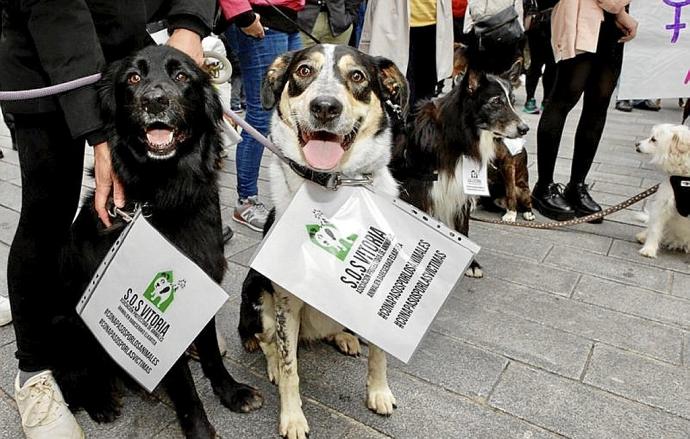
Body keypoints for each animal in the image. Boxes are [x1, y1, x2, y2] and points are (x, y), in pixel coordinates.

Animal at [53, 46, 262, 438]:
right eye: (133, 78)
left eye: (181, 76)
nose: (154, 100)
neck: (167, 195)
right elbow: (181, 382)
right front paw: (198, 428)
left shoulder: (202, 288)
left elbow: (211, 353)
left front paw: (230, 391)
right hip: (67, 324)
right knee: (73, 377)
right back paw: (100, 401)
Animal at [238, 45, 408, 439]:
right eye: (303, 70)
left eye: (358, 76)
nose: (326, 107)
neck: (335, 188)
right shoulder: (284, 298)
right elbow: (290, 368)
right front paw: (293, 418)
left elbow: (379, 353)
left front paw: (379, 392)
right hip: (256, 293)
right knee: (269, 341)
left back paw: (344, 337)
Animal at [388, 66, 528, 276]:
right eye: (496, 102)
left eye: (512, 100)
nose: (525, 129)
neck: (457, 138)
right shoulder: (418, 191)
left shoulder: (460, 192)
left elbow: (463, 229)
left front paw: (471, 265)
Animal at [636, 124, 688, 258]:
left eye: (653, 139)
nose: (636, 144)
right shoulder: (663, 203)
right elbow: (655, 229)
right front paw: (649, 249)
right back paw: (643, 236)